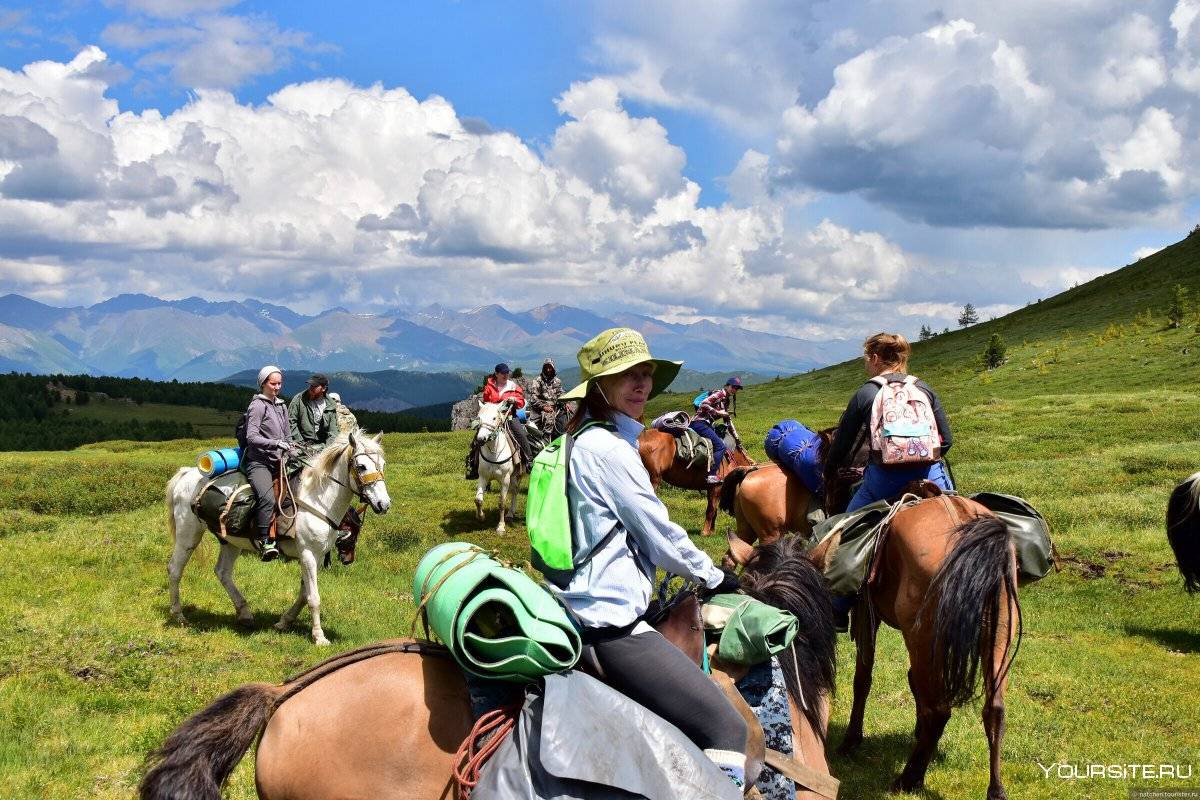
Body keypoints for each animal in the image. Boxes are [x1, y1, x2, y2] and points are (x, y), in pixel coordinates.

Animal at [162, 431, 388, 642]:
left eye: (383, 464)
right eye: (361, 466)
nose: (383, 505)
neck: (318, 498)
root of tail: (187, 473)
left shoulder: (312, 556)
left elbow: (304, 594)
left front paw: (284, 622)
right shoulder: (308, 554)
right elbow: (313, 597)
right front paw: (319, 636)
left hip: (231, 541)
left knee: (222, 572)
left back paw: (245, 614)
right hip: (188, 534)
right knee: (175, 569)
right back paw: (179, 615)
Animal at [472, 398, 520, 532]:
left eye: (494, 418)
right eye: (479, 417)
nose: (480, 439)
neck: (494, 451)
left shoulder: (505, 479)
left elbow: (502, 502)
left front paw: (501, 526)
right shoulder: (483, 477)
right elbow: (478, 500)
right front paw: (481, 517)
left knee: (515, 491)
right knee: (515, 490)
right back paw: (510, 513)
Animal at [744, 496, 1017, 796]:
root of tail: (961, 517)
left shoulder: (866, 616)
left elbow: (862, 680)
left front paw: (852, 740)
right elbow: (907, 682)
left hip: (923, 638)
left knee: (939, 710)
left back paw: (909, 779)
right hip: (998, 635)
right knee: (994, 709)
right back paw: (995, 789)